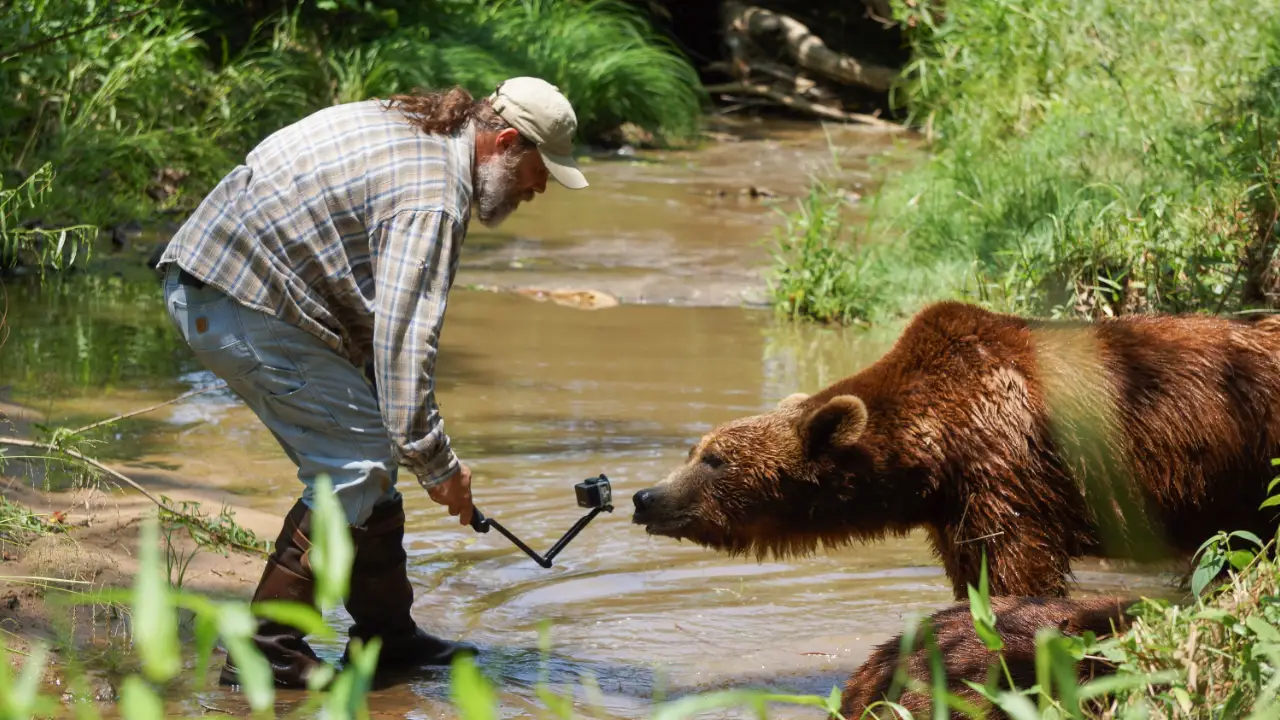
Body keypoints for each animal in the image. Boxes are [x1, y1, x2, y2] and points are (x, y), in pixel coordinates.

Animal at [630, 300, 1280, 599]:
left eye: (712, 459)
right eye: (694, 450)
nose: (645, 497)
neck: (934, 450)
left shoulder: (1008, 469)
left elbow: (1020, 570)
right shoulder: (954, 507)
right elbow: (973, 576)